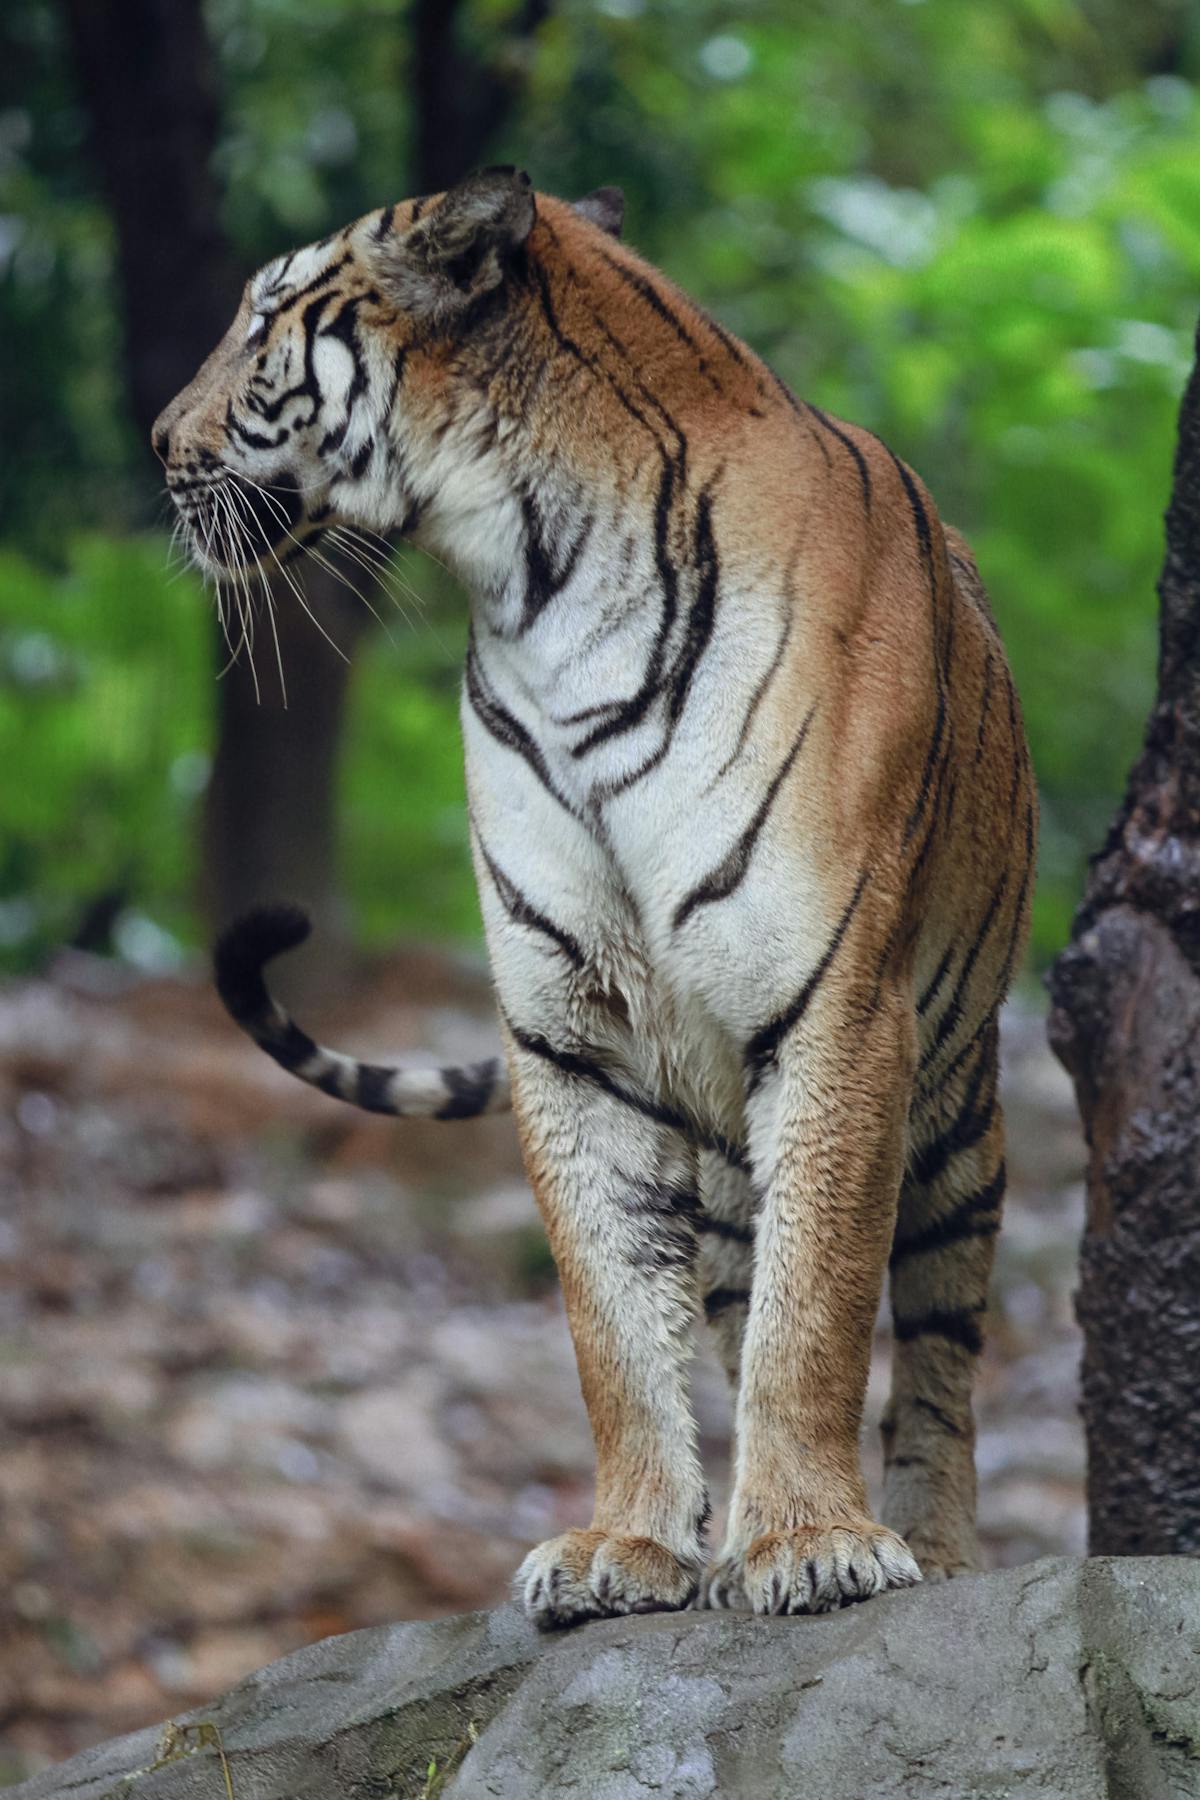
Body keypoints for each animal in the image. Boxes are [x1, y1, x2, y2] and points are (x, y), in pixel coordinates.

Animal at [155, 166, 1036, 1627]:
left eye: (267, 316)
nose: (160, 440)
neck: (536, 588)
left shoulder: (840, 1009)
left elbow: (819, 1306)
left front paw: (814, 1544)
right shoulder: (571, 1030)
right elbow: (612, 1318)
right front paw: (629, 1543)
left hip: (960, 1114)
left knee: (941, 1348)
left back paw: (938, 1545)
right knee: (730, 1299)